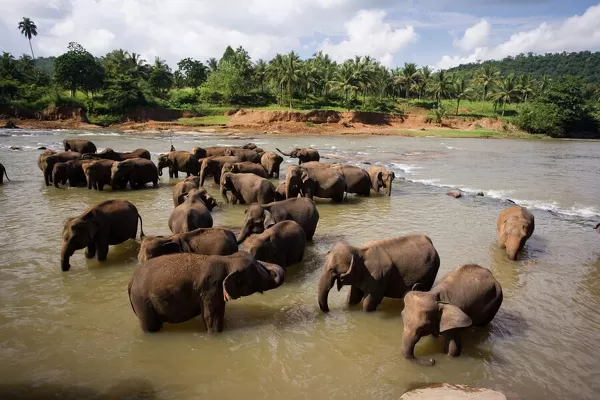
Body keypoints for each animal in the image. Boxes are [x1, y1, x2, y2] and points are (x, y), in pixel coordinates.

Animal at [127, 253, 286, 334]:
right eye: (257, 274)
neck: (228, 259)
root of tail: (131, 281)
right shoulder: (211, 287)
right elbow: (211, 317)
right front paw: (215, 335)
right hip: (142, 303)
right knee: (150, 326)